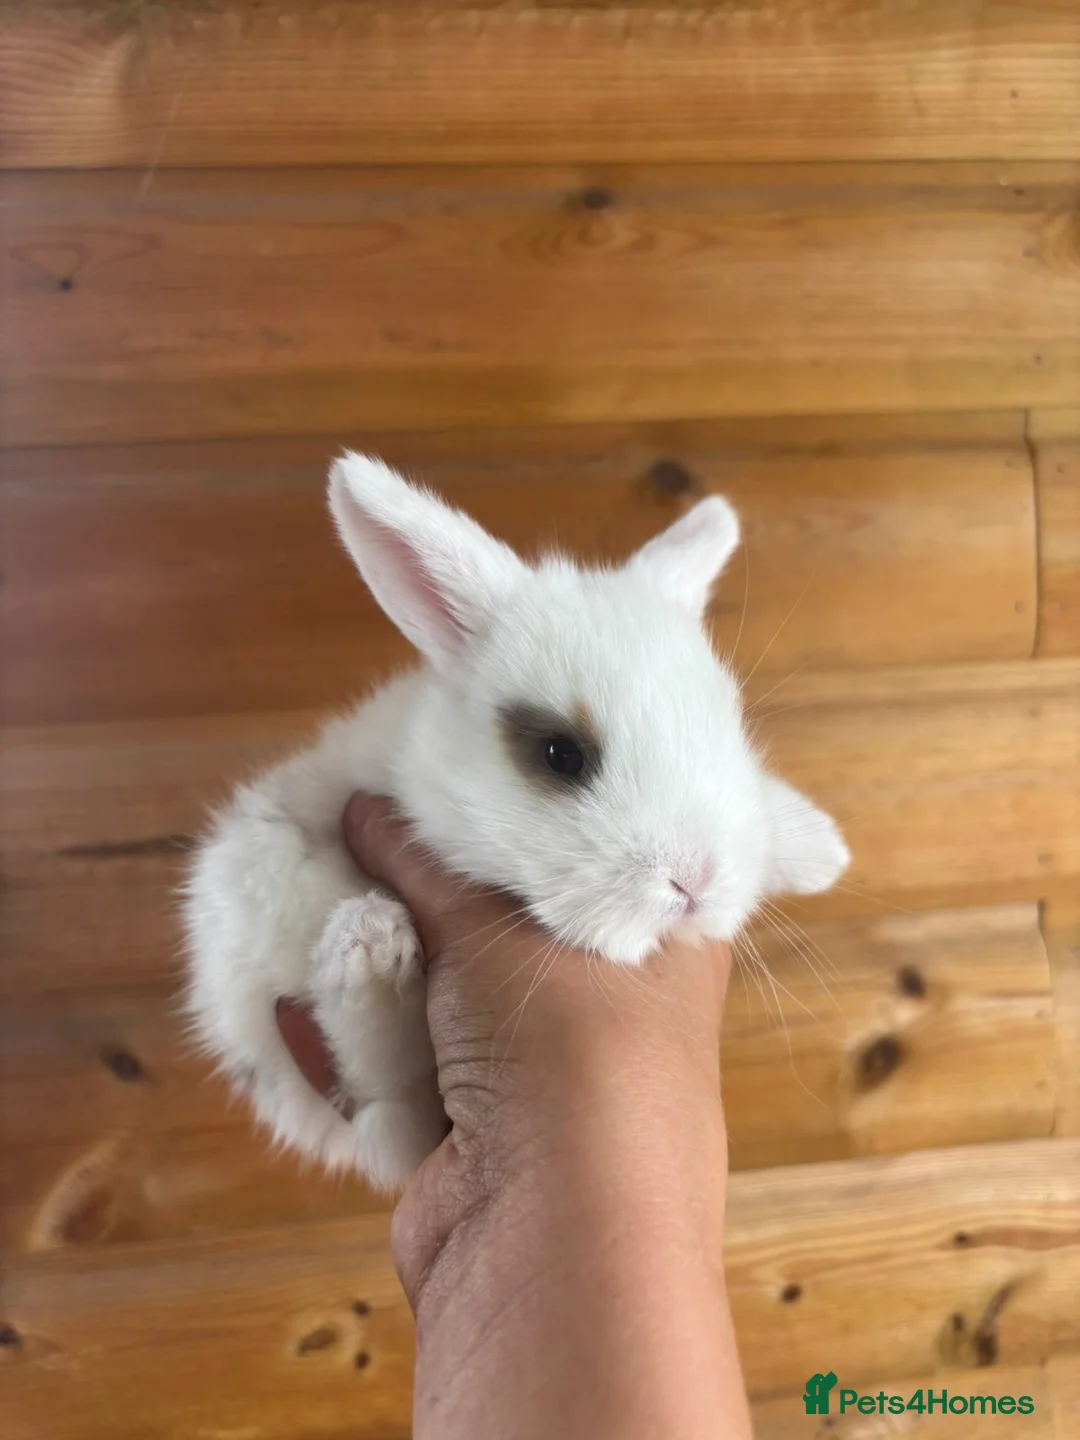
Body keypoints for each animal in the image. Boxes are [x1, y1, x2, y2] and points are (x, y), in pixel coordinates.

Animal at [181, 453, 850, 1190]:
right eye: (561, 754)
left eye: (728, 728)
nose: (695, 881)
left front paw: (822, 849)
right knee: (382, 1086)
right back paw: (371, 945)